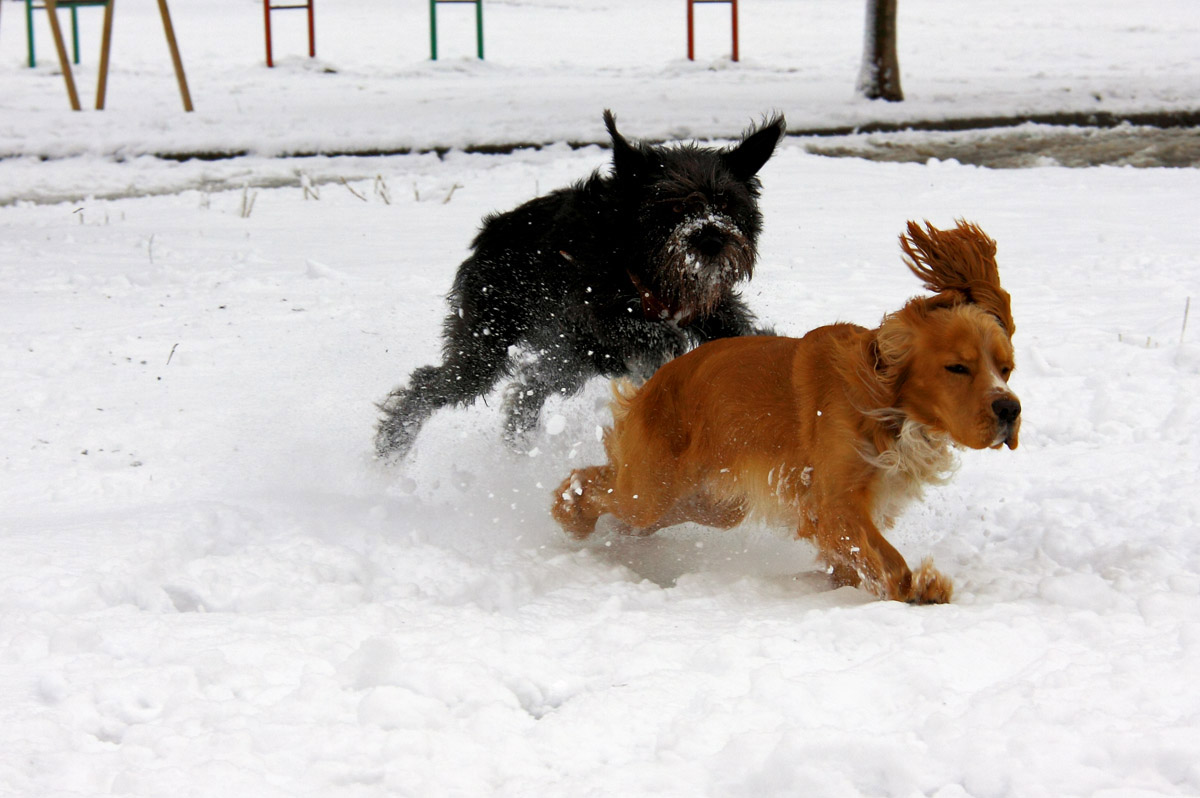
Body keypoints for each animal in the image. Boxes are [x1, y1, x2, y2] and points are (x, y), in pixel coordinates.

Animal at [376, 110, 787, 460]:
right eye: (673, 207)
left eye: (727, 204)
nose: (712, 239)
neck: (639, 258)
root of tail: (487, 234)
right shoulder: (597, 311)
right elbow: (647, 332)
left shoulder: (711, 308)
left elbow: (739, 332)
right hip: (487, 347)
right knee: (432, 383)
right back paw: (391, 447)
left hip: (571, 357)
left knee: (529, 383)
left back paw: (518, 444)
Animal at [549, 219, 1017, 604]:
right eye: (957, 368)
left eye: (1006, 368)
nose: (1010, 408)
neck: (886, 403)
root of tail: (657, 383)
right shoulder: (836, 501)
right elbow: (887, 561)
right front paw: (919, 589)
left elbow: (852, 561)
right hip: (651, 489)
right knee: (586, 483)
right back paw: (570, 515)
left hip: (708, 503)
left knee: (624, 510)